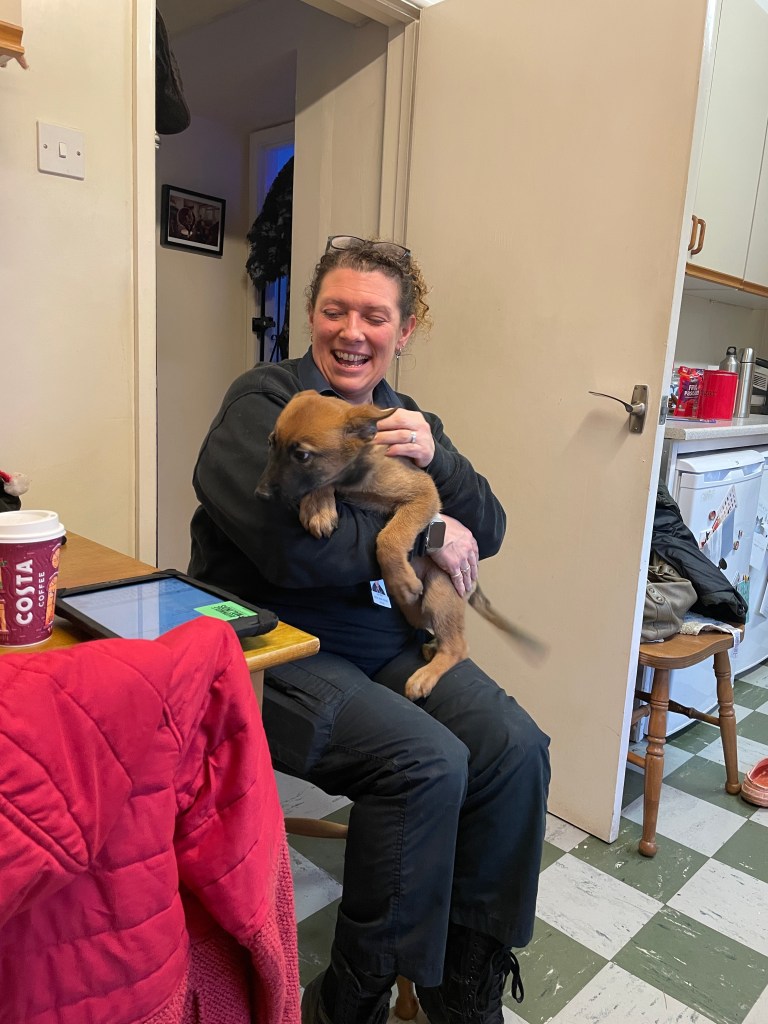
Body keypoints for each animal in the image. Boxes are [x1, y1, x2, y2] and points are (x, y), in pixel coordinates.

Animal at [255, 390, 544, 700]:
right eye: (270, 443)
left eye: (302, 455)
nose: (259, 495)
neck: (358, 474)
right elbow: (324, 483)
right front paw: (318, 507)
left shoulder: (423, 494)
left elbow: (389, 536)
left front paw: (399, 579)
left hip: (440, 593)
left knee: (458, 646)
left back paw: (425, 674)